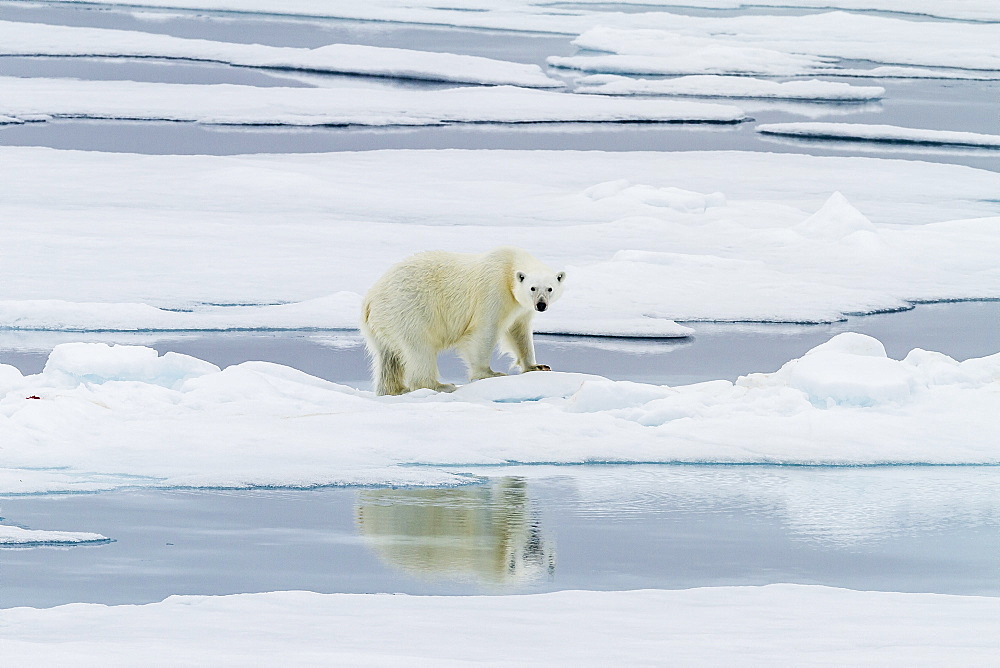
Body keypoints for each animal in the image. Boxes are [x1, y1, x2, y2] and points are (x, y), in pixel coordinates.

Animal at [360, 249, 564, 396]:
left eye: (550, 288)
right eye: (532, 288)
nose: (541, 304)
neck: (509, 265)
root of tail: (369, 300)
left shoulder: (519, 307)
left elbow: (519, 332)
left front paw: (537, 366)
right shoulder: (493, 291)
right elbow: (485, 331)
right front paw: (489, 374)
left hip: (383, 324)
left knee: (388, 358)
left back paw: (395, 389)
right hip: (408, 311)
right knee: (419, 349)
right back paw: (440, 385)